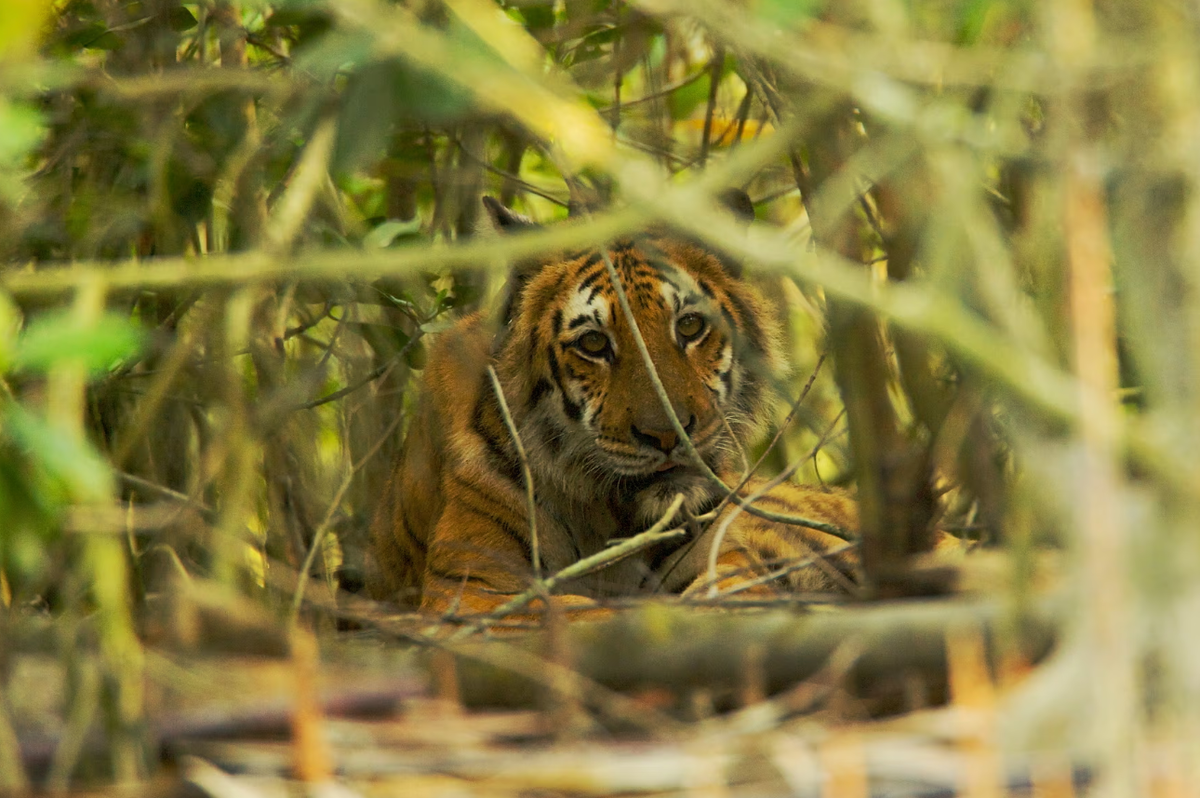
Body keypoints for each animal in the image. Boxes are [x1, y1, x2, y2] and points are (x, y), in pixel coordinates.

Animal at [365, 193, 859, 616]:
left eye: (690, 325)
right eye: (594, 343)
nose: (667, 433)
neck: (608, 516)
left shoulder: (729, 564)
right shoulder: (475, 589)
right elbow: (584, 614)